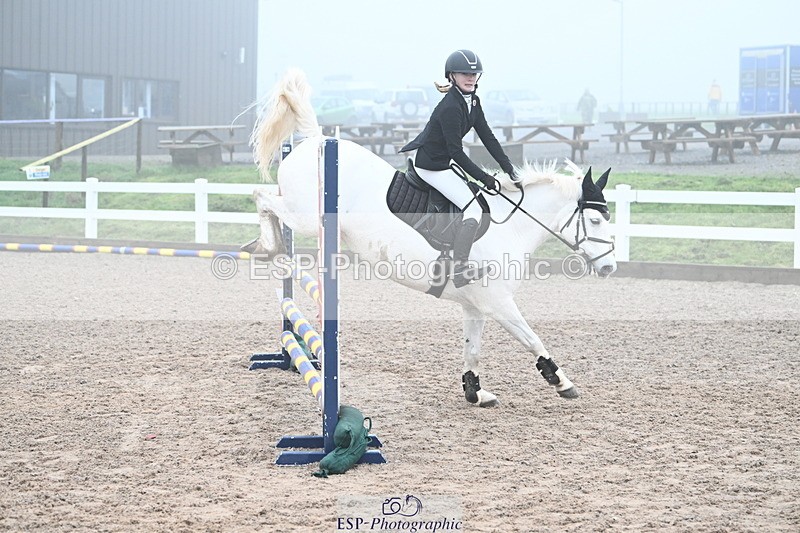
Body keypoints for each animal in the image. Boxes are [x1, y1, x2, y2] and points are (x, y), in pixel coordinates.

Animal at [243, 69, 617, 407]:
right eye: (595, 220)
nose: (610, 268)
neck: (511, 227)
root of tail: (316, 140)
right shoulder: (498, 301)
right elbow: (532, 338)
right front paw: (561, 381)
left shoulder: (475, 304)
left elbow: (472, 350)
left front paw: (475, 392)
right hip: (307, 215)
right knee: (262, 196)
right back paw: (268, 246)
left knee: (268, 200)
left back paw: (267, 248)